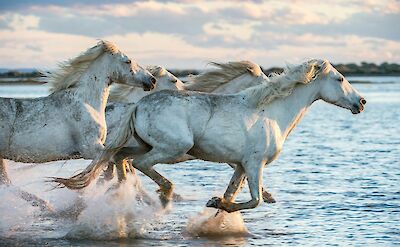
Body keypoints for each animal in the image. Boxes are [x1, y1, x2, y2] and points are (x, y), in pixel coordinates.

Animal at [0, 40, 156, 208]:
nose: (152, 80)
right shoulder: (90, 149)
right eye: (128, 61)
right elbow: (118, 164)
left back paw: (47, 207)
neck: (86, 103)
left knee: (7, 183)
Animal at [55, 58, 366, 212]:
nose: (361, 102)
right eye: (340, 78)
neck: (271, 112)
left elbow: (236, 191)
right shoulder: (255, 163)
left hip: (144, 145)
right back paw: (164, 193)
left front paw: (220, 204)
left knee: (119, 158)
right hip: (173, 147)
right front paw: (218, 203)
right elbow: (255, 199)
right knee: (138, 165)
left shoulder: (240, 165)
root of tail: (138, 104)